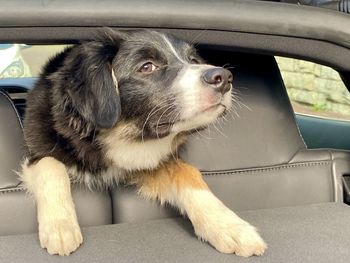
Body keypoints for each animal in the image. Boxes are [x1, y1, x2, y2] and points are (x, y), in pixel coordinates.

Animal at [19, 28, 266, 258]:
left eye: (194, 61)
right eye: (147, 67)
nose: (223, 78)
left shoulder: (148, 161)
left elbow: (187, 172)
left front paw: (230, 226)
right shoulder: (38, 148)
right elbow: (51, 165)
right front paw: (61, 226)